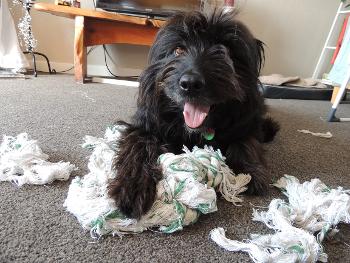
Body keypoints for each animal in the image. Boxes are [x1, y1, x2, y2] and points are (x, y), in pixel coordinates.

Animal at [108, 9, 278, 219]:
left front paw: (249, 171)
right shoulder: (143, 126)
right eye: (178, 50)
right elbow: (139, 146)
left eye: (225, 51)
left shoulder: (245, 122)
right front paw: (132, 186)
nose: (190, 83)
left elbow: (246, 141)